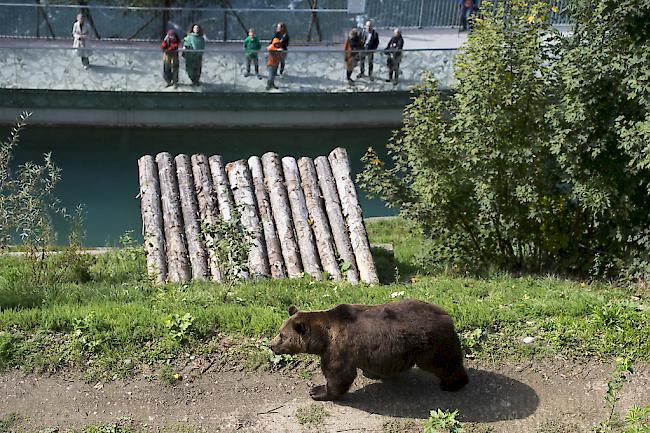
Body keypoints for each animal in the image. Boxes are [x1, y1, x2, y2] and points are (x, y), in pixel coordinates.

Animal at [268, 298, 466, 400]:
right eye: (279, 331)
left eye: (282, 336)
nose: (271, 345)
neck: (322, 337)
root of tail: (446, 315)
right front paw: (371, 373)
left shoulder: (338, 348)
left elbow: (338, 375)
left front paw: (318, 391)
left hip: (431, 345)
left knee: (446, 363)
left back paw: (453, 384)